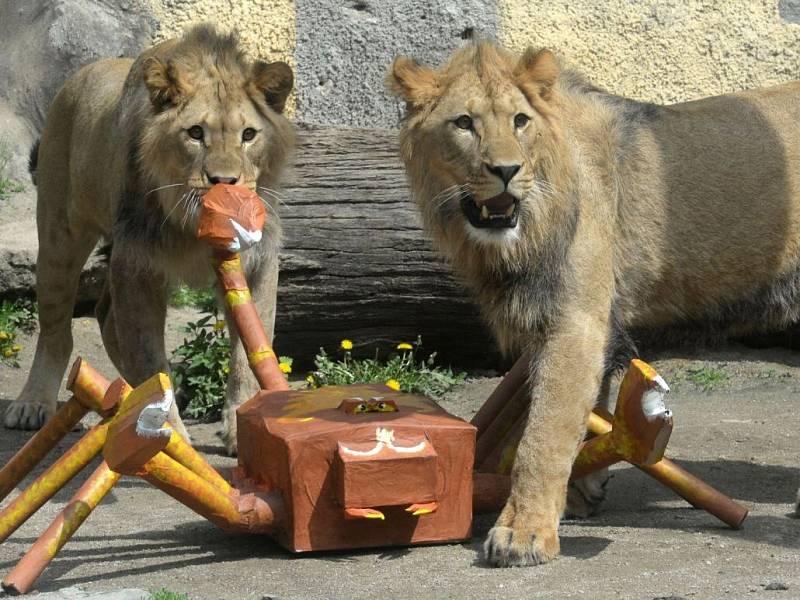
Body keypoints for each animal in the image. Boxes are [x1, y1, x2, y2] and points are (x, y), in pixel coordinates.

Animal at [5, 24, 294, 454]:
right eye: (195, 133)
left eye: (248, 135)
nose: (224, 182)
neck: (190, 225)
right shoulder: (137, 264)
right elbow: (149, 356)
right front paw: (167, 432)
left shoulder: (257, 260)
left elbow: (249, 352)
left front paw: (242, 426)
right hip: (60, 237)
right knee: (56, 330)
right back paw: (33, 404)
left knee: (105, 314)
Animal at [390, 42, 800, 568]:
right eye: (464, 123)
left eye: (520, 121)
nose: (506, 171)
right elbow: (587, 409)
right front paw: (581, 491)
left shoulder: (576, 321)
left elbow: (543, 433)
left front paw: (523, 533)